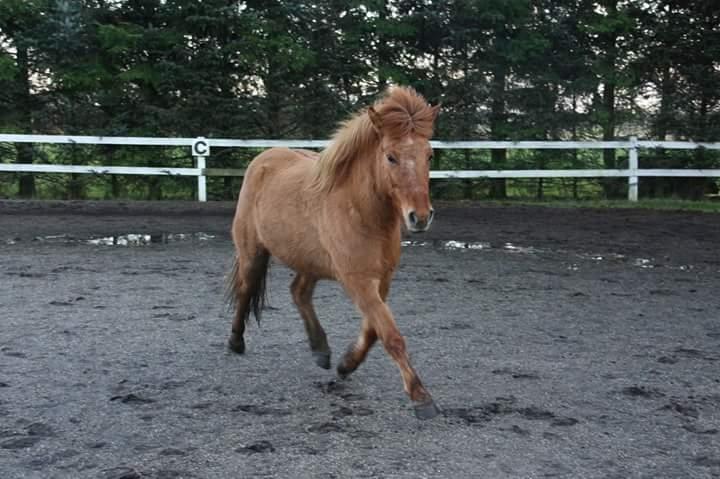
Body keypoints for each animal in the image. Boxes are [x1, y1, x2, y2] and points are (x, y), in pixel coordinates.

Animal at [226, 87, 438, 420]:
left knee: (299, 292)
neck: (363, 211)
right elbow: (390, 335)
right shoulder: (358, 281)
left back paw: (320, 349)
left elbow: (374, 331)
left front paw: (346, 363)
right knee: (246, 291)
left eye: (429, 154)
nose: (420, 217)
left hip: (309, 261)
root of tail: (264, 158)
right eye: (390, 156)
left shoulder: (381, 280)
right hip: (252, 254)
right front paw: (421, 397)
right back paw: (236, 341)